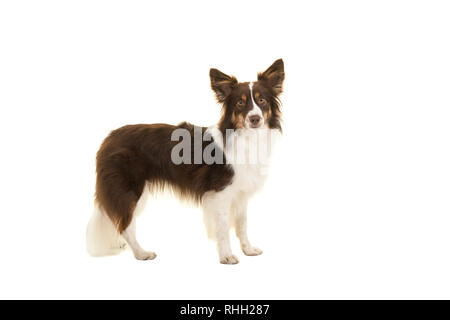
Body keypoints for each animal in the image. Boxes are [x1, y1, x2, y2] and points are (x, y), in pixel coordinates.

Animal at [86, 58, 284, 264]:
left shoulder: (240, 192)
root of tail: (109, 138)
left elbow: (242, 224)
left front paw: (248, 250)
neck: (246, 137)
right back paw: (141, 253)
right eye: (240, 102)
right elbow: (223, 228)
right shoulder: (220, 193)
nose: (255, 119)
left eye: (262, 100)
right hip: (131, 190)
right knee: (125, 224)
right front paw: (226, 256)